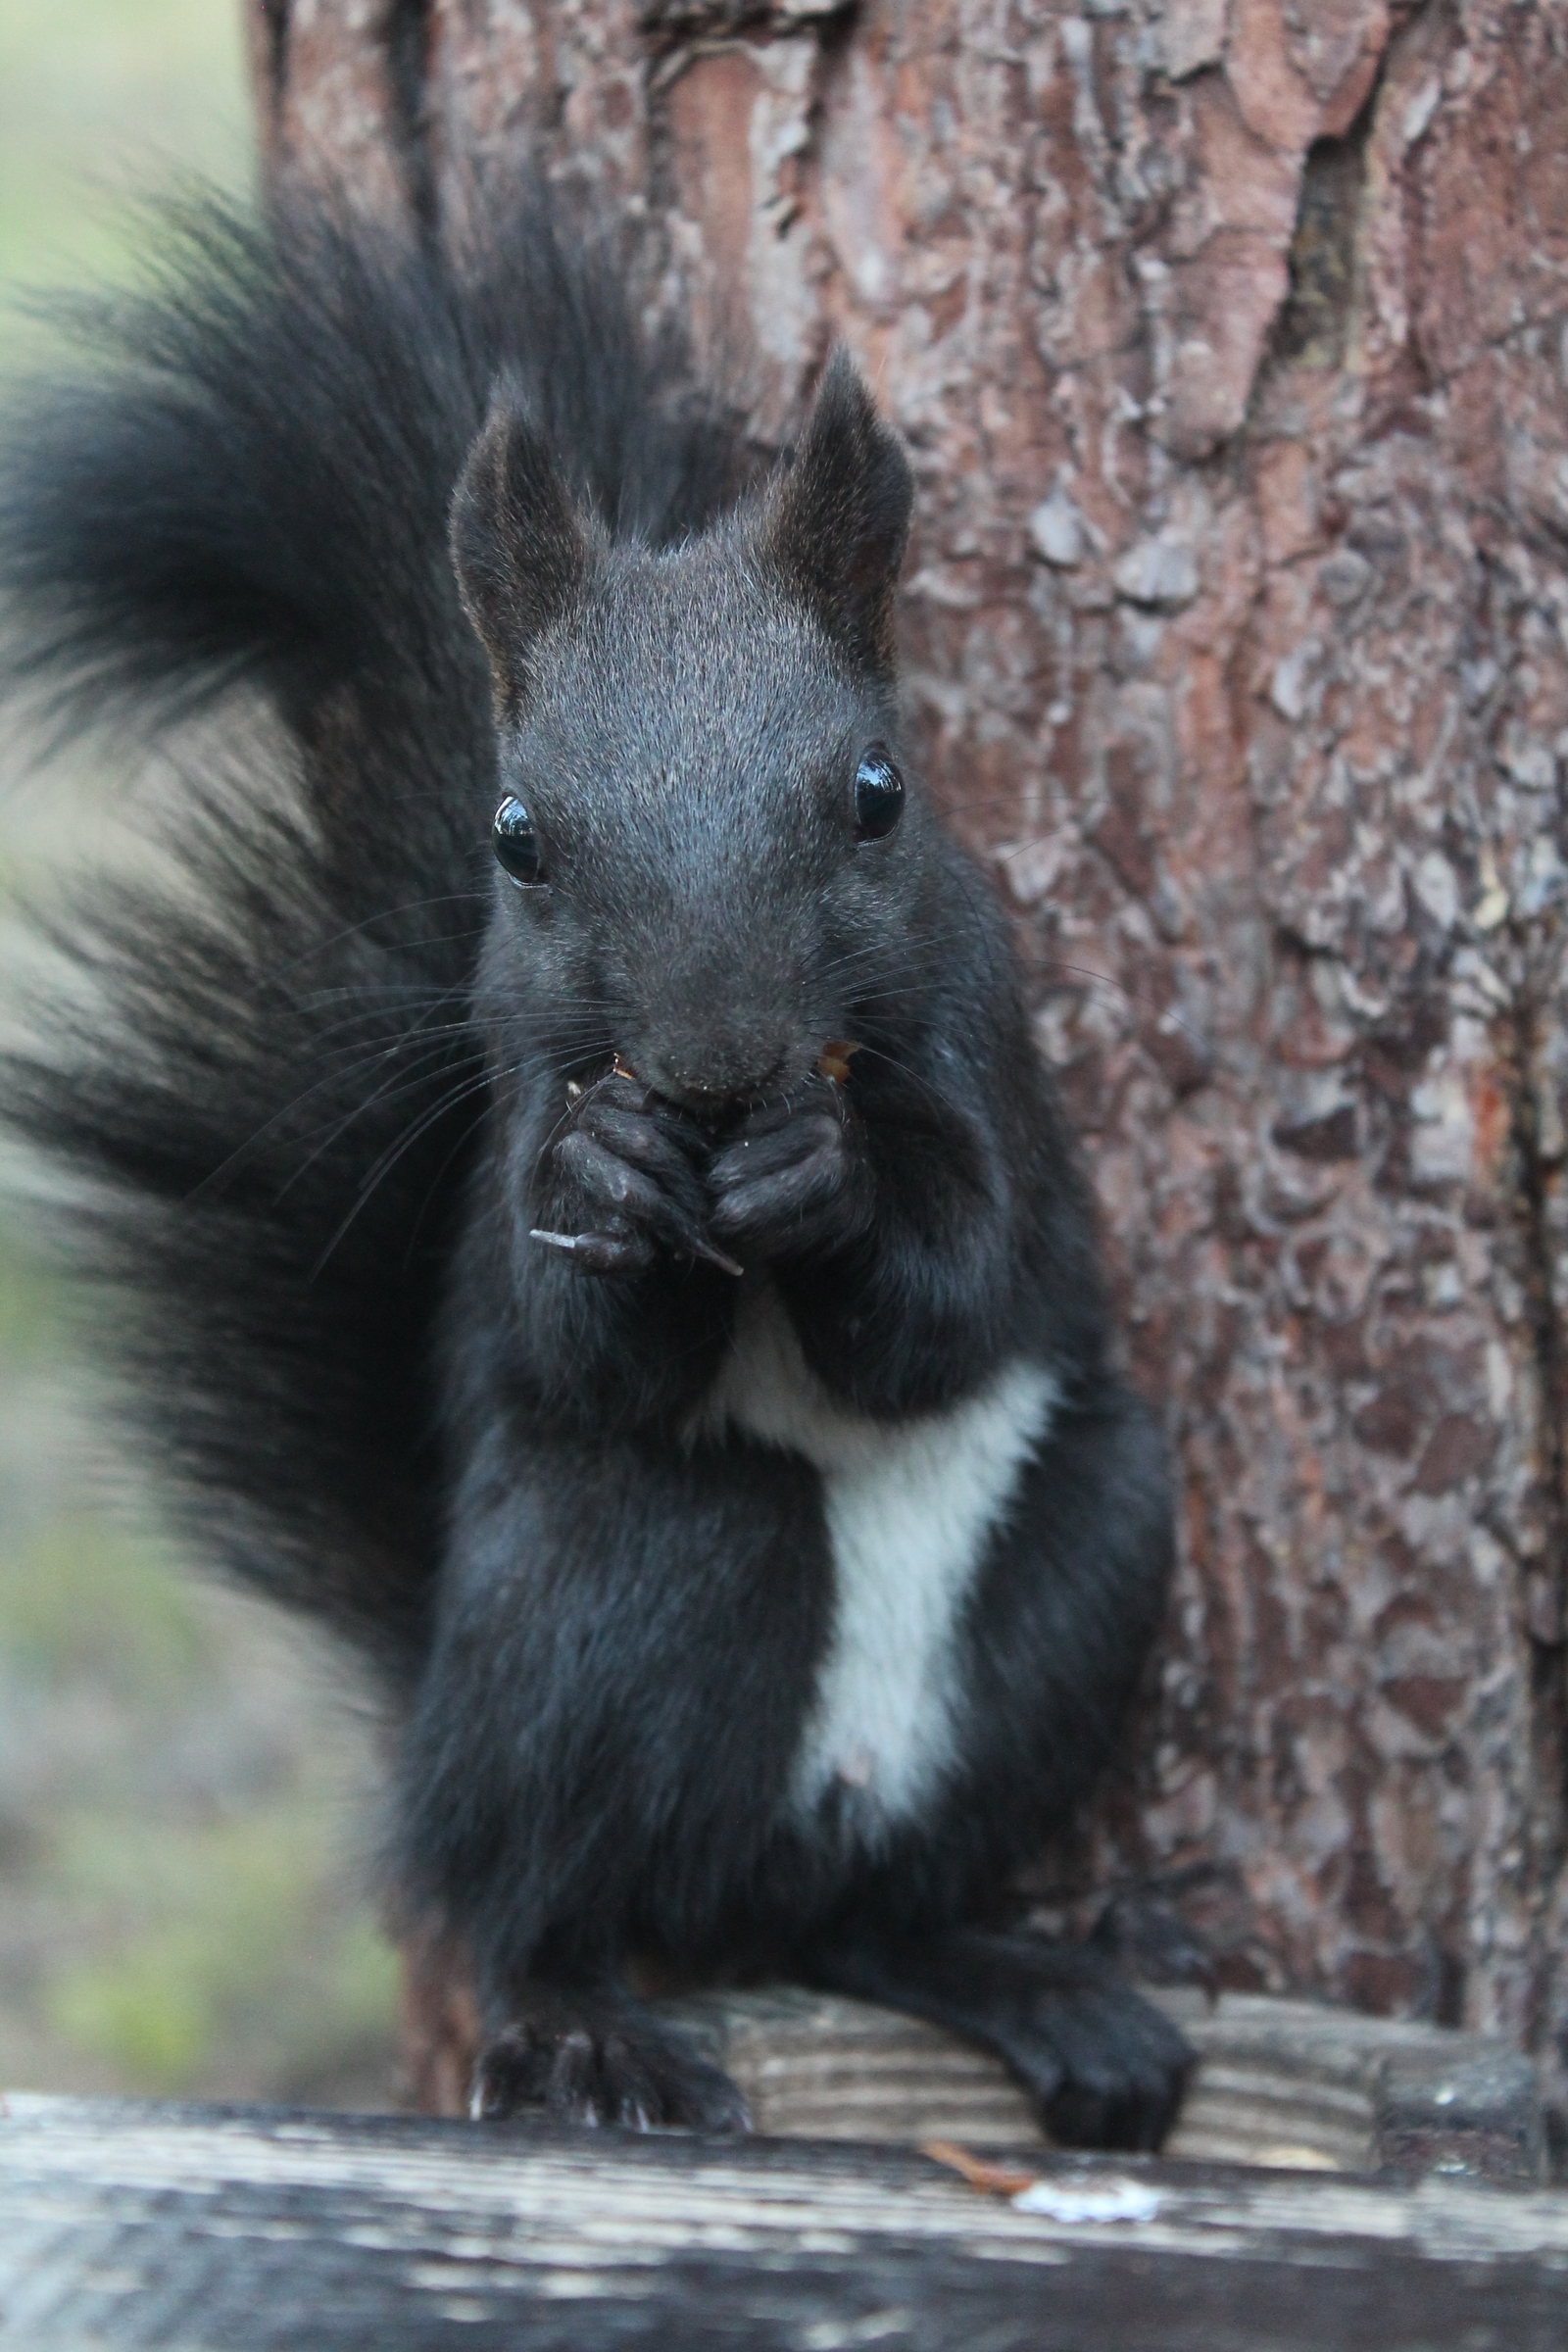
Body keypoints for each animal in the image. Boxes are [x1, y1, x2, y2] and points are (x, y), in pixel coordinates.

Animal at [3, 183, 1189, 2144]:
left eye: (879, 793)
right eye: (517, 836)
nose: (712, 1065)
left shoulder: (992, 1061)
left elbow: (961, 1293)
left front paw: (831, 1180)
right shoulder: (510, 1108)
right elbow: (573, 1338)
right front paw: (620, 1185)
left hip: (1088, 1555)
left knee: (870, 1918)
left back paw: (1040, 1993)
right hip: (633, 1572)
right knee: (524, 1899)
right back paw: (584, 2029)